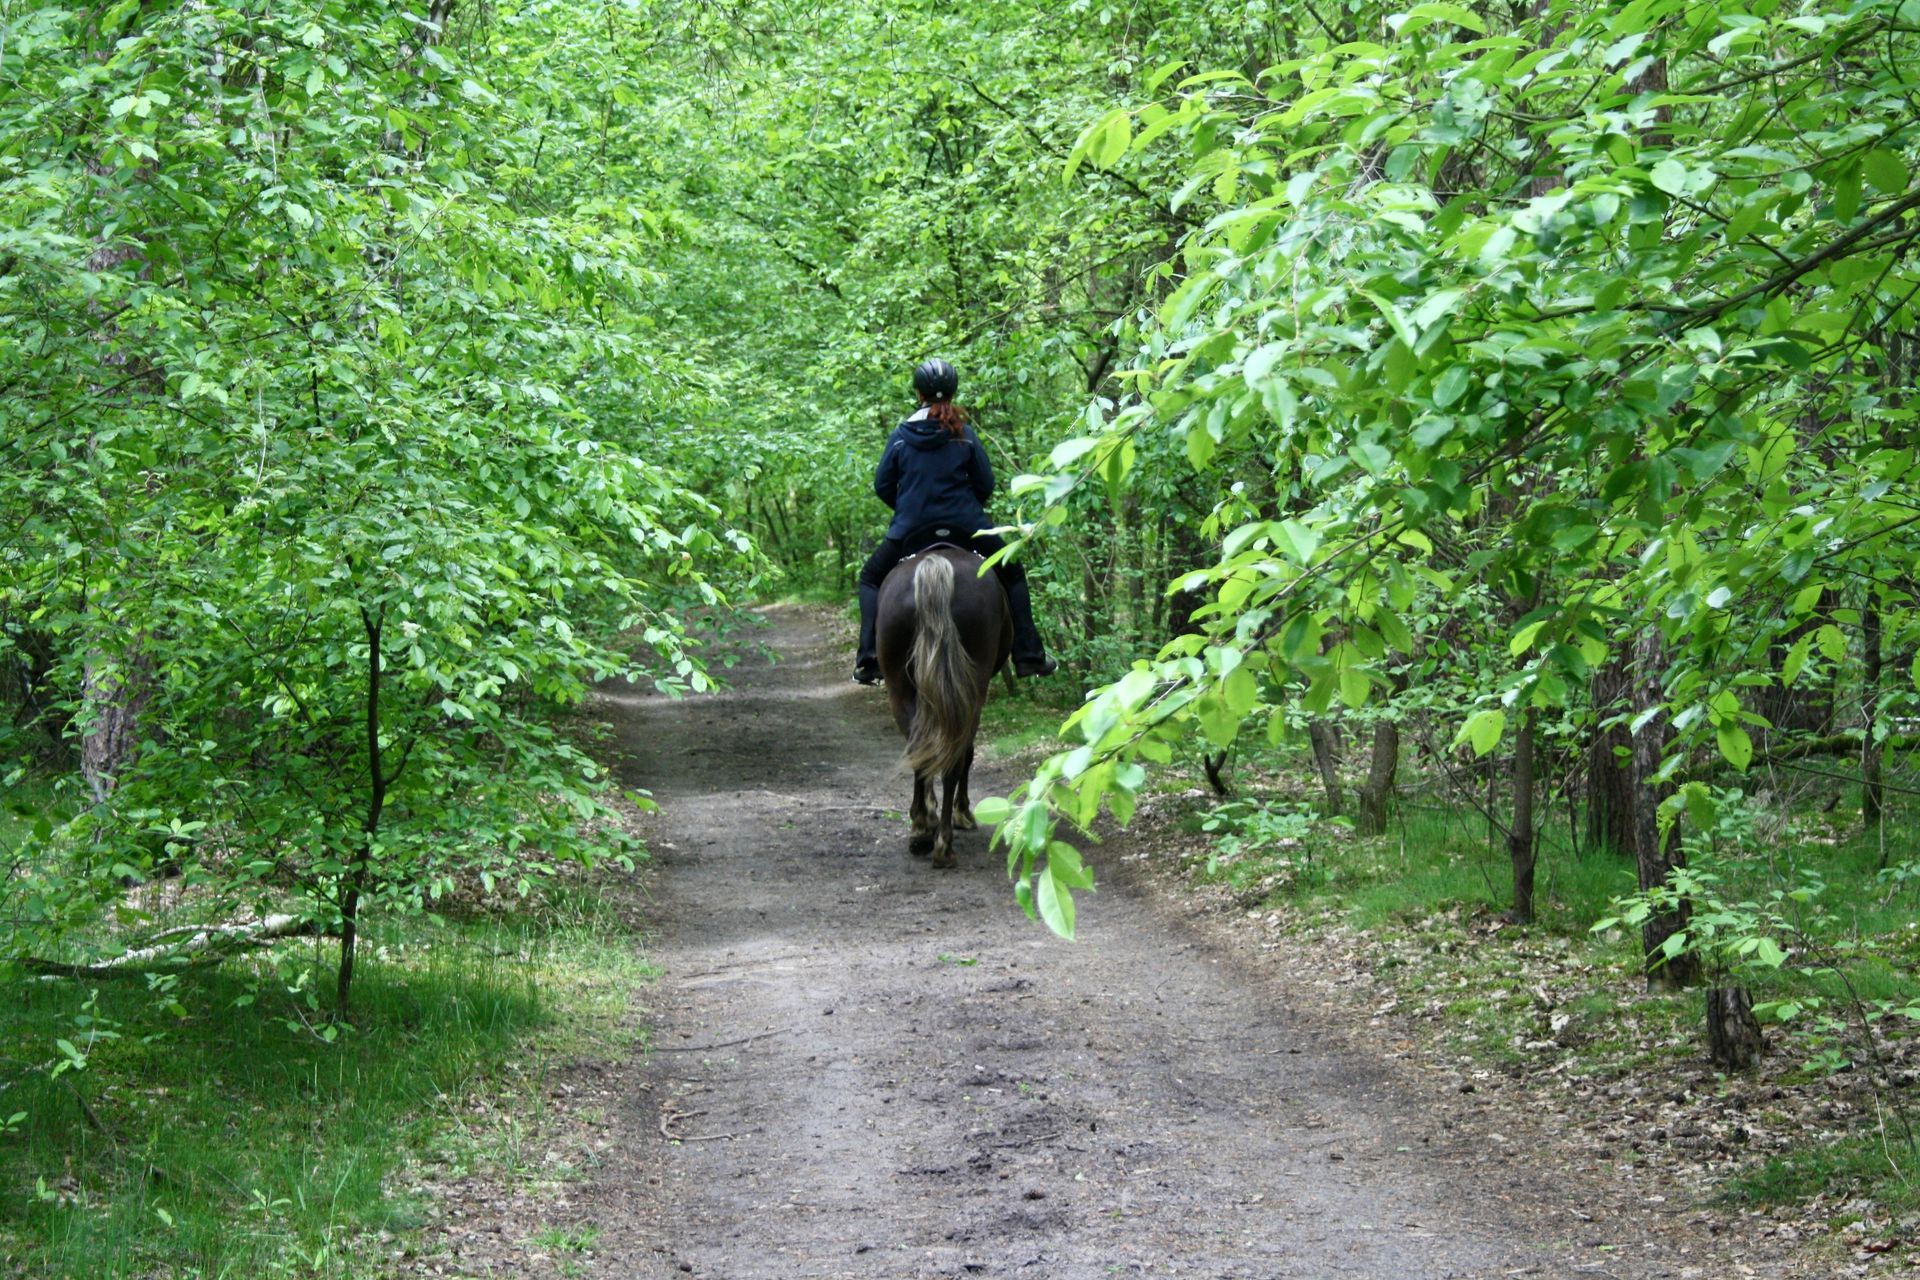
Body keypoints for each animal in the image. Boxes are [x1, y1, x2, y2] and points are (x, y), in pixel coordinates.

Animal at [875, 545, 1012, 868]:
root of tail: (936, 562)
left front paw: (930, 812)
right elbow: (968, 753)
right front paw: (961, 812)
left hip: (900, 688)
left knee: (920, 748)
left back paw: (923, 831)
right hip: (971, 692)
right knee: (952, 756)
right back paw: (940, 839)